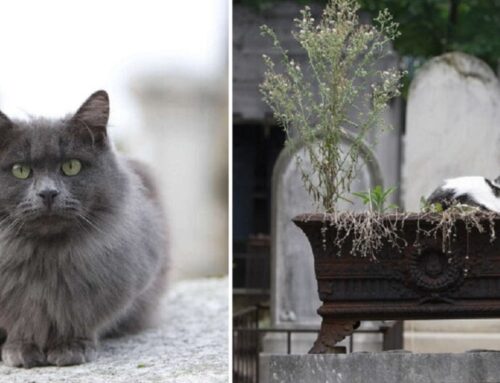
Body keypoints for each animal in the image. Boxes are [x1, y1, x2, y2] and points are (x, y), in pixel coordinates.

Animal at [0, 91, 169, 368]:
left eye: (71, 167)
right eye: (20, 170)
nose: (48, 193)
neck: (48, 259)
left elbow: (82, 319)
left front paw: (71, 347)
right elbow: (21, 322)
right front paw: (21, 348)